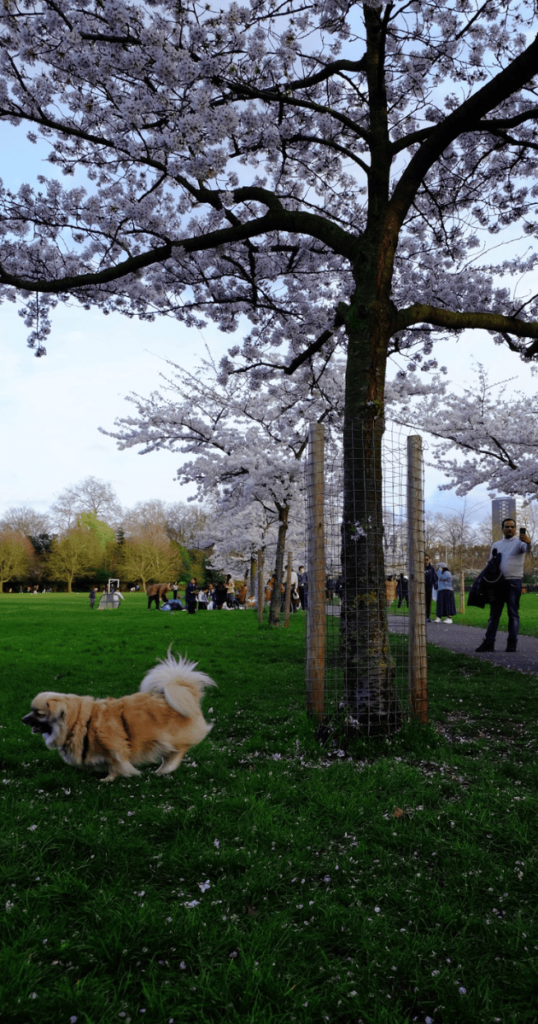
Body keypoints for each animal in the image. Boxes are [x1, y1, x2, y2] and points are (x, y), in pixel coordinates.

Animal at [21, 651, 214, 778]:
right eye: (31, 711)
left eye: (38, 713)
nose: (23, 719)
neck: (77, 722)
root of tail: (185, 689)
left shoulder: (114, 749)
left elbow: (116, 765)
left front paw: (109, 779)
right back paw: (162, 770)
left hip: (168, 738)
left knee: (179, 751)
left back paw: (165, 770)